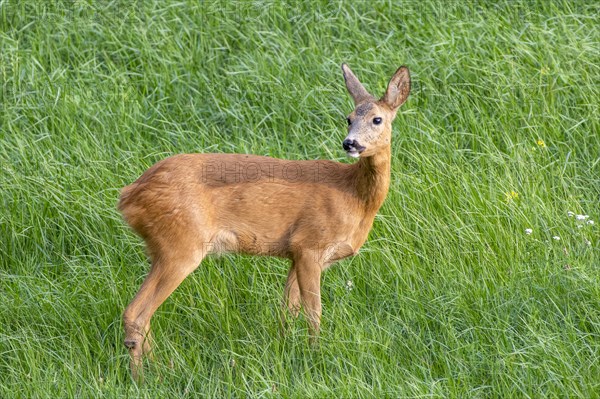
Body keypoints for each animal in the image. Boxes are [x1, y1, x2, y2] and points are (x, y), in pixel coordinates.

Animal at [119, 64, 410, 380]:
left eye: (377, 119)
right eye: (348, 118)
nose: (350, 143)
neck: (354, 197)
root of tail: (128, 196)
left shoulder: (295, 253)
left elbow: (288, 310)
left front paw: (285, 349)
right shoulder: (310, 245)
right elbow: (314, 311)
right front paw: (316, 355)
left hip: (161, 250)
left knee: (142, 315)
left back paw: (162, 369)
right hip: (181, 245)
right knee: (135, 312)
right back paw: (143, 378)